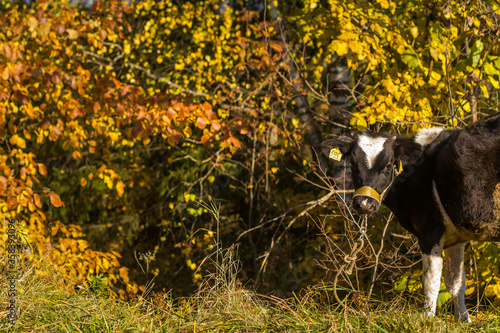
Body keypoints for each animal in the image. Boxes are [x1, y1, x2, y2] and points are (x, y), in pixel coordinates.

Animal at [320, 113, 500, 320]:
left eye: (388, 165)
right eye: (353, 164)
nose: (364, 203)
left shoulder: (429, 230)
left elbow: (431, 282)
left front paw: (428, 320)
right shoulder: (455, 237)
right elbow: (456, 284)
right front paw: (463, 320)